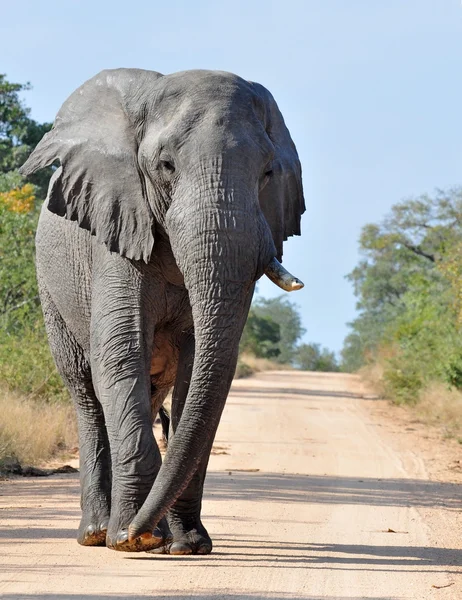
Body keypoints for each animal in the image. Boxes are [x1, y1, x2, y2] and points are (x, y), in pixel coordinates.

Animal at [19, 68, 304, 556]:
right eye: (166, 166)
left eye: (268, 173)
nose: (141, 531)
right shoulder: (116, 231)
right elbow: (121, 354)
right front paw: (135, 540)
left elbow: (200, 373)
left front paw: (185, 544)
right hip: (50, 289)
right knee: (85, 391)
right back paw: (97, 533)